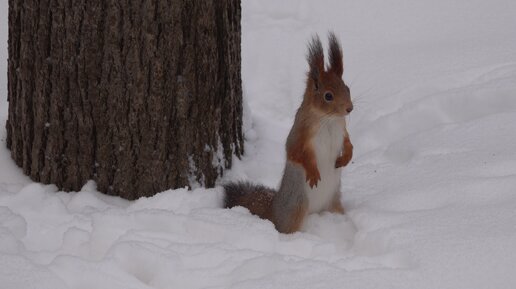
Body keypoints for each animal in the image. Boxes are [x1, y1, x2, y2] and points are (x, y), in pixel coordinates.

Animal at [224, 32, 352, 233]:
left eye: (347, 88)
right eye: (328, 96)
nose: (349, 109)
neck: (329, 120)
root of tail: (274, 209)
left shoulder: (342, 129)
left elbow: (348, 143)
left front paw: (346, 158)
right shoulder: (300, 133)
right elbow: (294, 152)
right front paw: (313, 172)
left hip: (334, 202)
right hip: (297, 205)